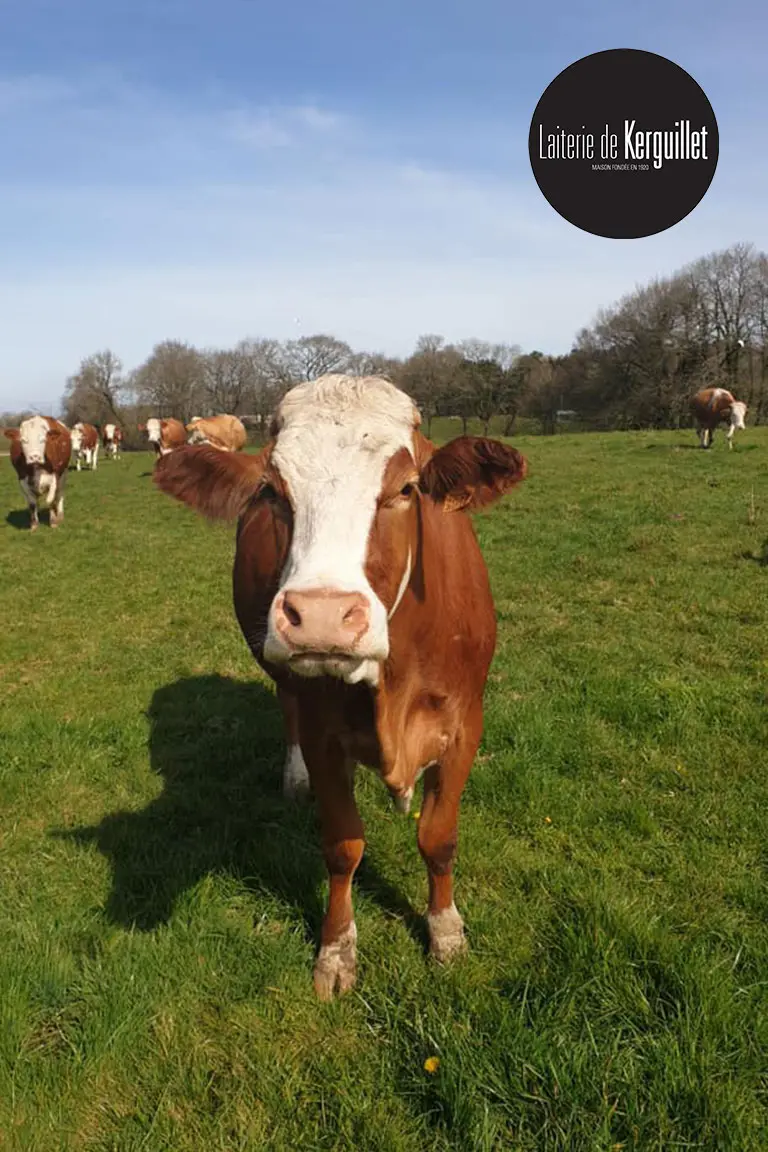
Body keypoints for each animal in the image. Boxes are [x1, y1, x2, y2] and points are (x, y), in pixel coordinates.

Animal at [154, 375, 529, 999]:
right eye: (271, 490)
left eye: (406, 488)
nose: (323, 617)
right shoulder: (323, 733)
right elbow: (342, 845)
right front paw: (336, 950)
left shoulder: (465, 722)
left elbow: (438, 838)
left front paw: (446, 933)